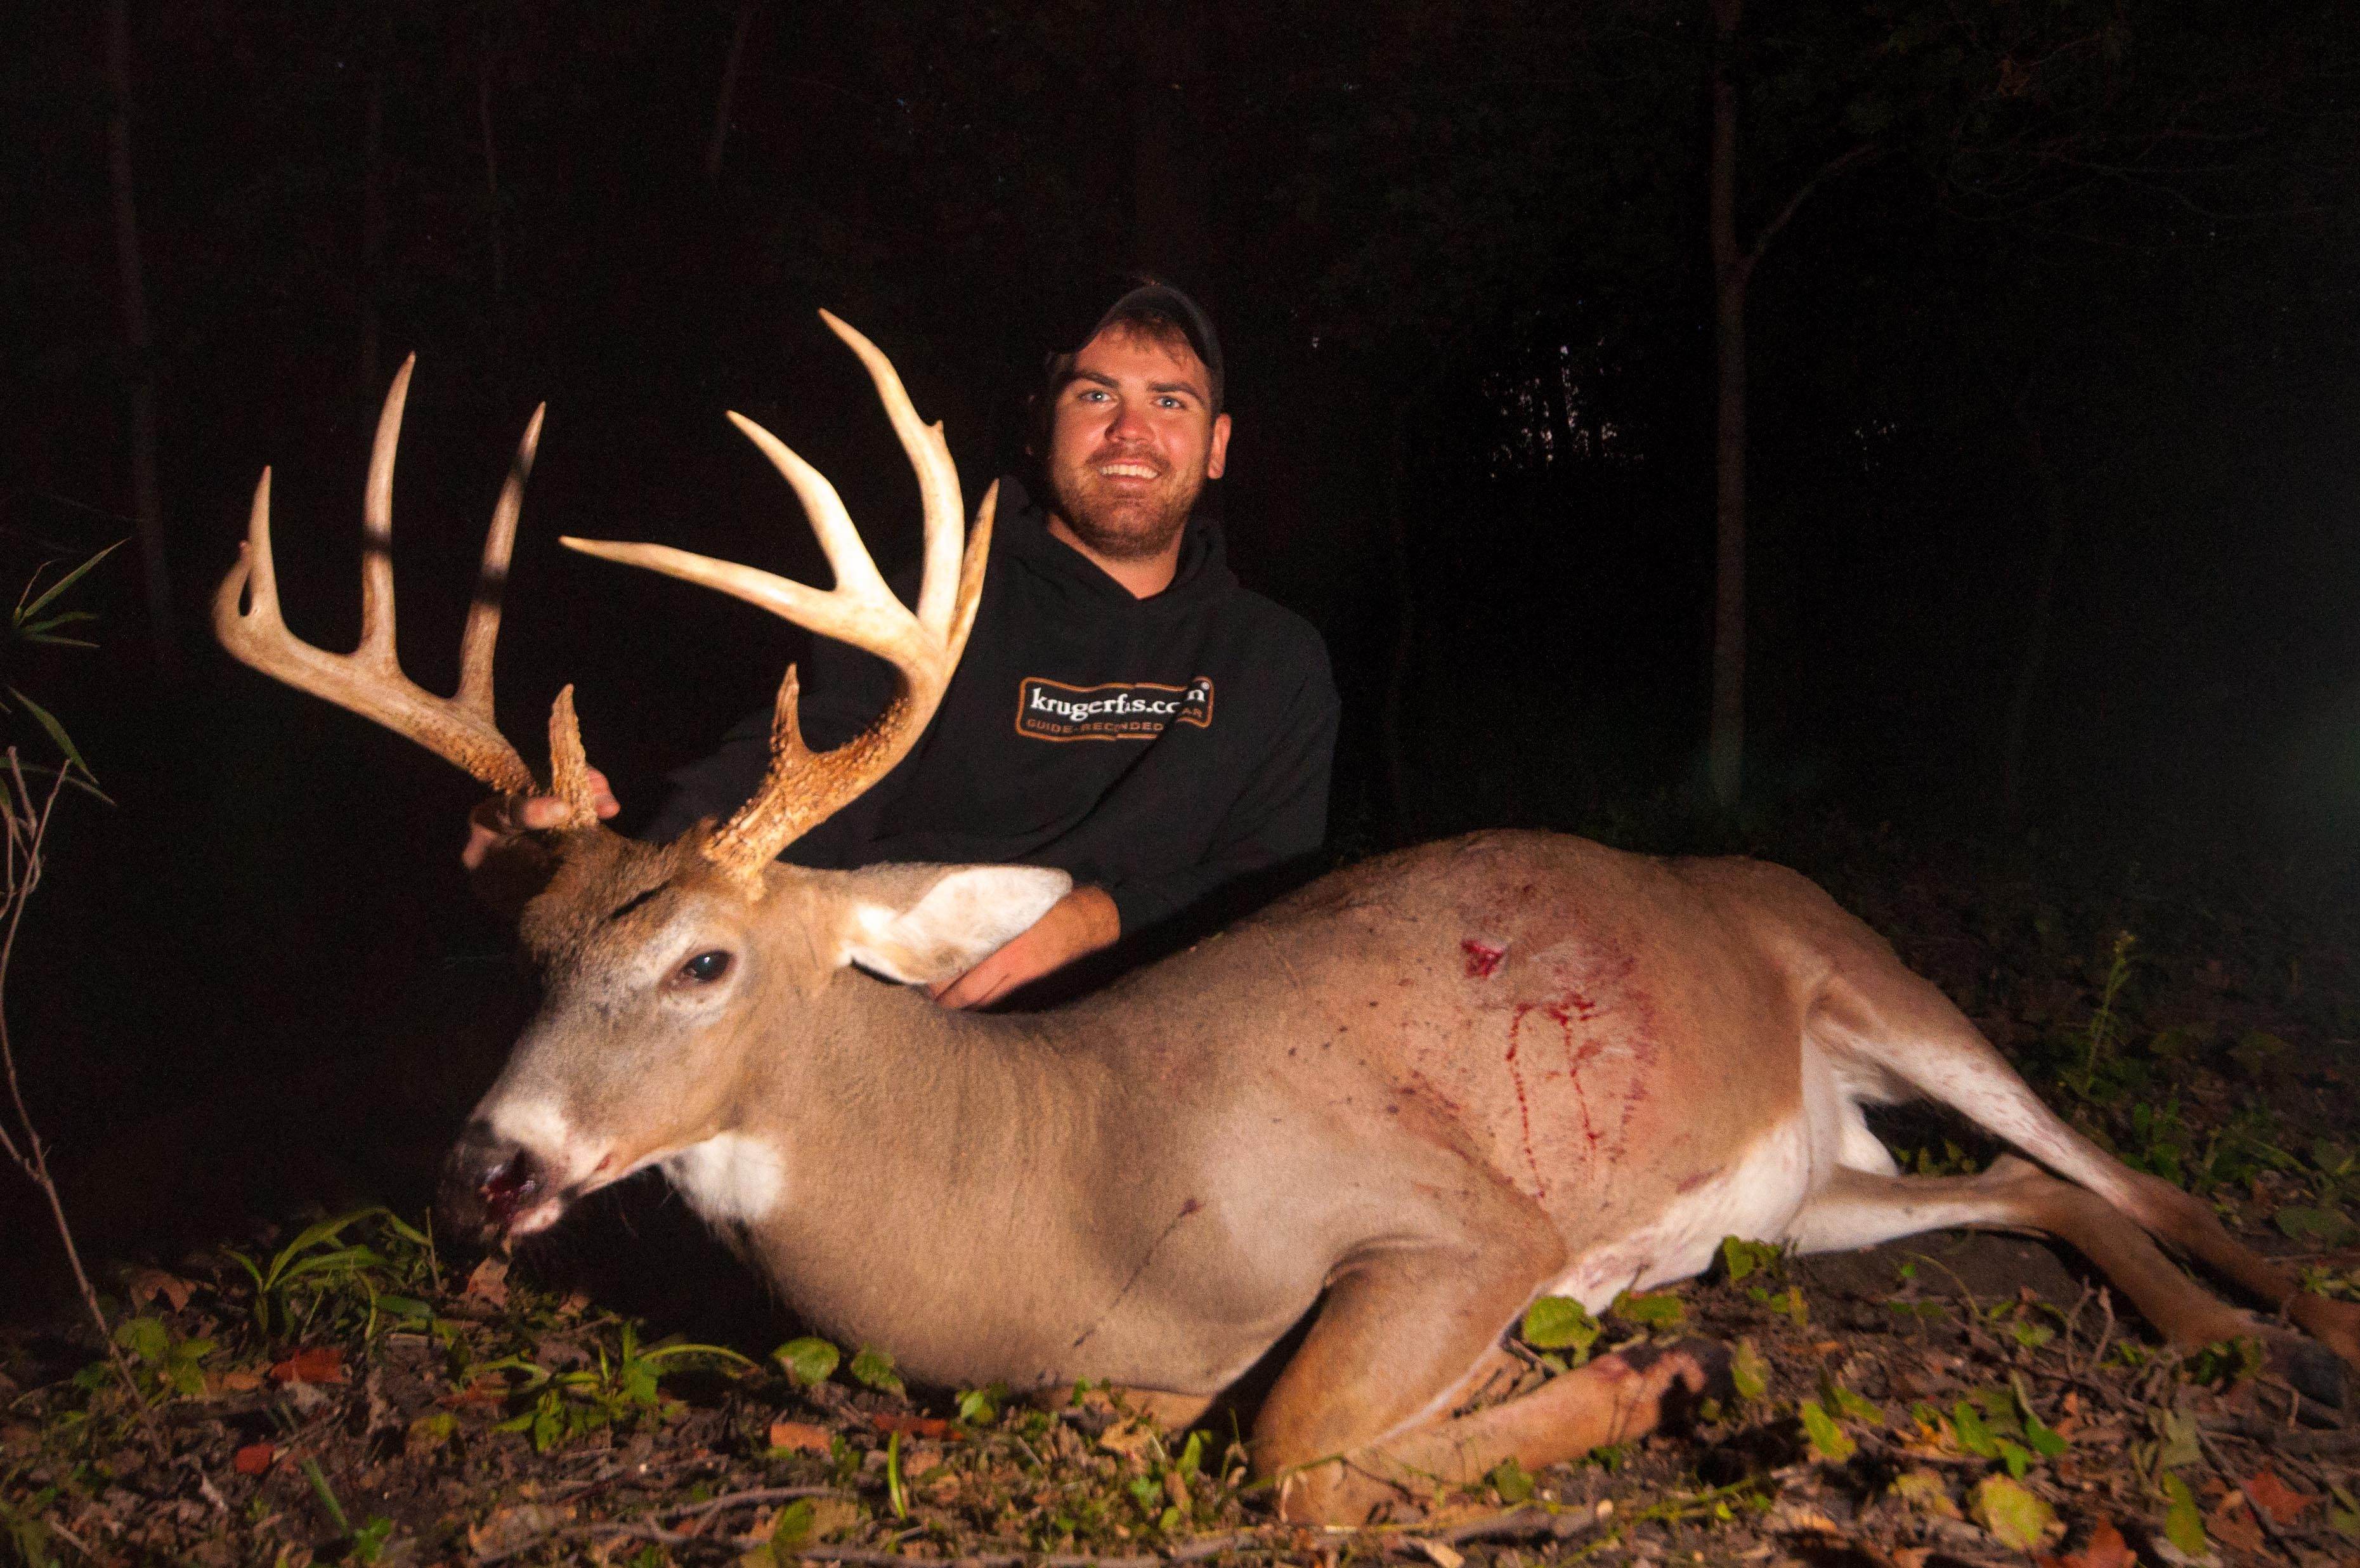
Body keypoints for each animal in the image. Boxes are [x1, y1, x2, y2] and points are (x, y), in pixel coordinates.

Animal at [216, 314, 2360, 1524]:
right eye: (528, 955)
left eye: (703, 957)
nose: (485, 1175)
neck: (1067, 1188)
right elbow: (1216, 1432)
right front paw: (1582, 1381)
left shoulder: (1461, 1215)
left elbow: (1297, 1444)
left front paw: (1623, 1383)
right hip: (1807, 1181)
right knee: (2025, 1195)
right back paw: (2193, 1336)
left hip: (1876, 973)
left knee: (2119, 1162)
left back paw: (2294, 1312)